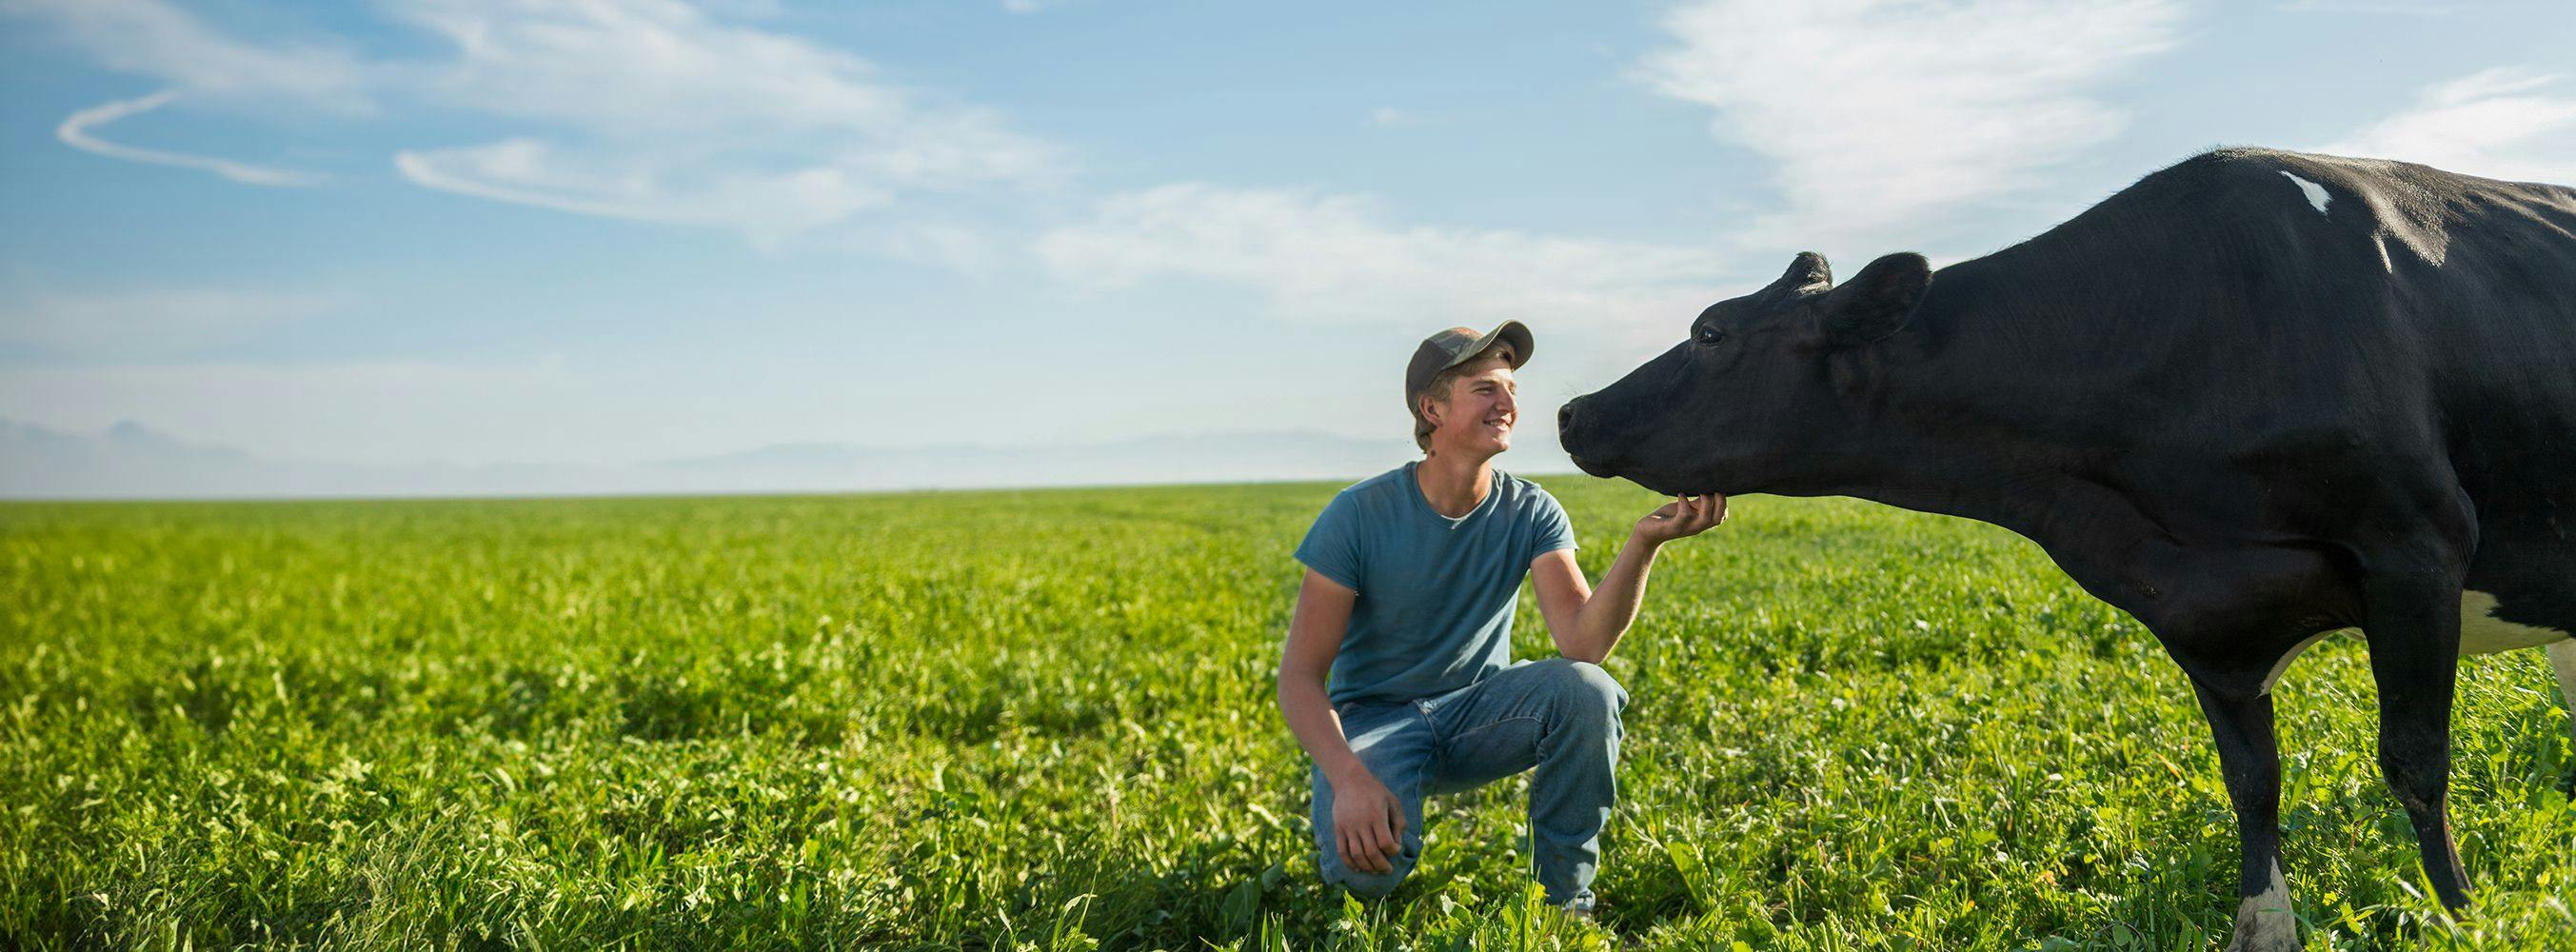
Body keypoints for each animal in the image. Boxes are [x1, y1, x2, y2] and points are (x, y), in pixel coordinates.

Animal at [1545, 149, 2576, 952]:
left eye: (1711, 330)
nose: (1571, 411)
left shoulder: (2416, 545)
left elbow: (2415, 761)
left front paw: (2463, 914)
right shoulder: (2205, 614)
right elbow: (2253, 783)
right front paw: (2265, 926)